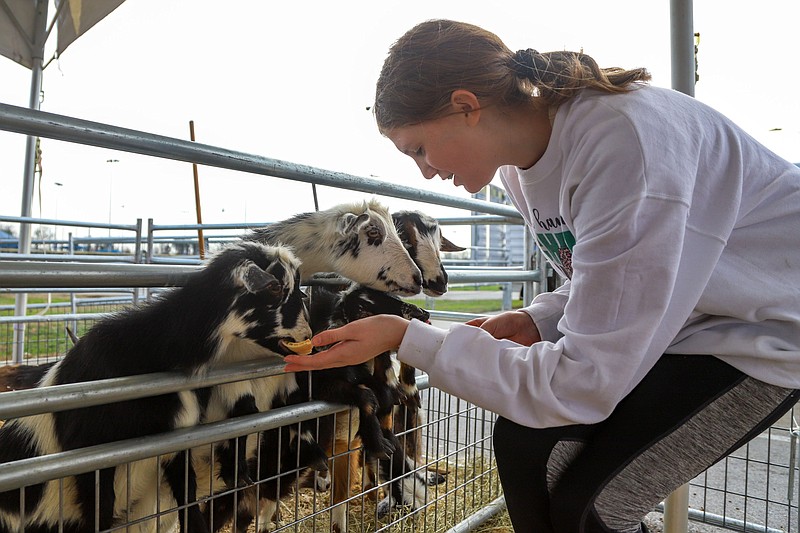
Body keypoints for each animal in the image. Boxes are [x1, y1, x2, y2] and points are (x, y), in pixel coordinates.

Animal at [0, 243, 310, 532]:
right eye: (276, 288)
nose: (307, 334)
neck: (153, 350)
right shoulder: (90, 452)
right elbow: (100, 513)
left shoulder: (177, 440)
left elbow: (188, 501)